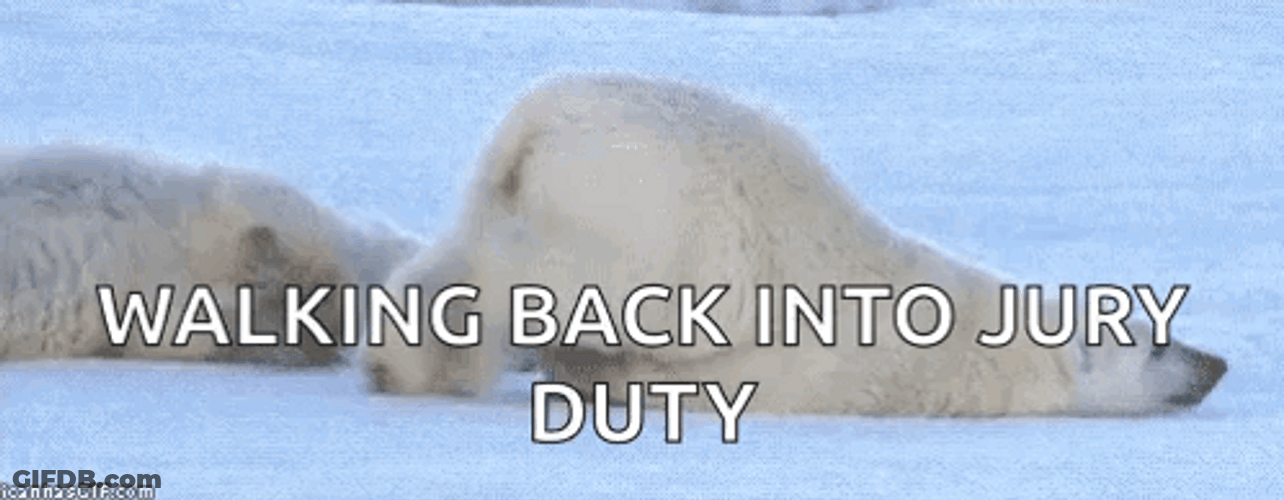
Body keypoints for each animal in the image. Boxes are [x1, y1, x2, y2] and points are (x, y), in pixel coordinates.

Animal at [365, 73, 1228, 416]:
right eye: (1155, 342)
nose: (1217, 363)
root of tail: (539, 122)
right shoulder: (828, 368)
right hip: (656, 220)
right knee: (537, 280)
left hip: (511, 185)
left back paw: (400, 362)